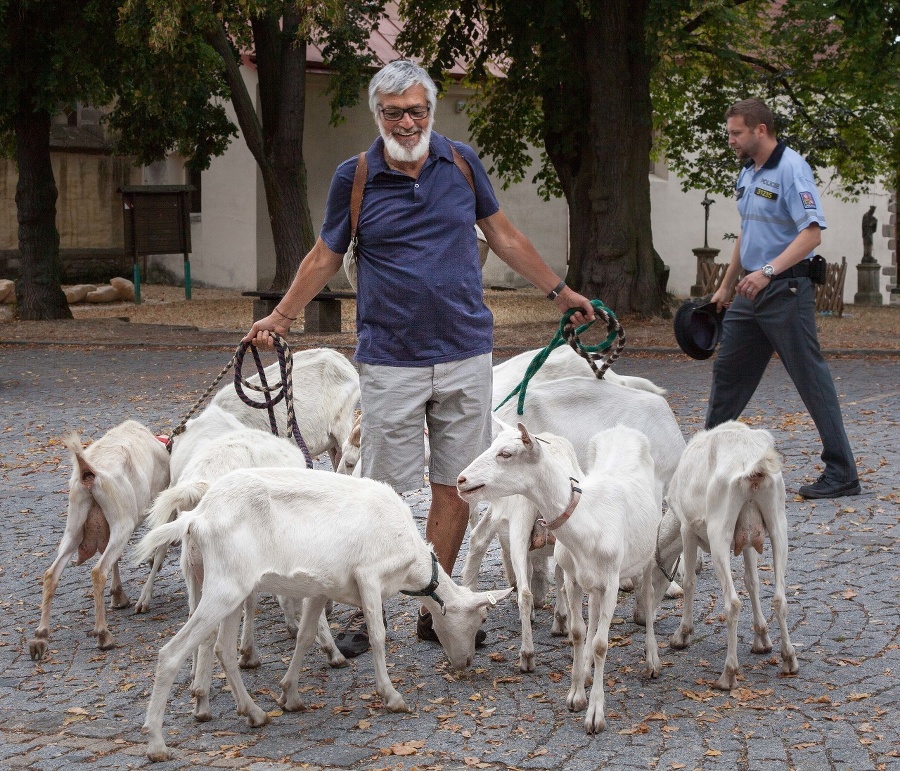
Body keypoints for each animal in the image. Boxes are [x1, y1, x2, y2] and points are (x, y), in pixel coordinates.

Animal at [29, 420, 171, 660]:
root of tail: (88, 472)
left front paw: (118, 596)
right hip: (122, 521)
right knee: (98, 571)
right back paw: (103, 635)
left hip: (74, 525)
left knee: (51, 573)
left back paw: (40, 637)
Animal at [136, 468, 510, 764]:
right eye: (480, 620)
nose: (465, 663)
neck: (411, 561)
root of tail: (197, 517)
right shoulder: (369, 575)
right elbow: (377, 636)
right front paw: (392, 697)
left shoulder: (320, 588)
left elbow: (304, 636)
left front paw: (290, 696)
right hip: (224, 586)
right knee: (170, 653)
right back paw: (156, 743)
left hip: (232, 588)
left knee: (223, 650)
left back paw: (254, 713)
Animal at [460, 426, 672, 732]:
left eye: (506, 453)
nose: (461, 480)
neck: (588, 521)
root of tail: (623, 429)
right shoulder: (573, 578)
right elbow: (578, 632)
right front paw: (576, 695)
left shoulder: (611, 582)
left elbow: (601, 644)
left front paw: (595, 714)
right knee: (593, 614)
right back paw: (586, 670)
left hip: (645, 553)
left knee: (647, 593)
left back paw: (652, 660)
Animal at [664, 426, 800, 692]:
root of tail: (752, 466)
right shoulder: (748, 540)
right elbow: (752, 581)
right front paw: (762, 639)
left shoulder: (687, 528)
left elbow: (689, 583)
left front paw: (682, 635)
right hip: (778, 524)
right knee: (780, 597)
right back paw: (789, 660)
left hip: (720, 533)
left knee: (733, 603)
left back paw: (728, 674)